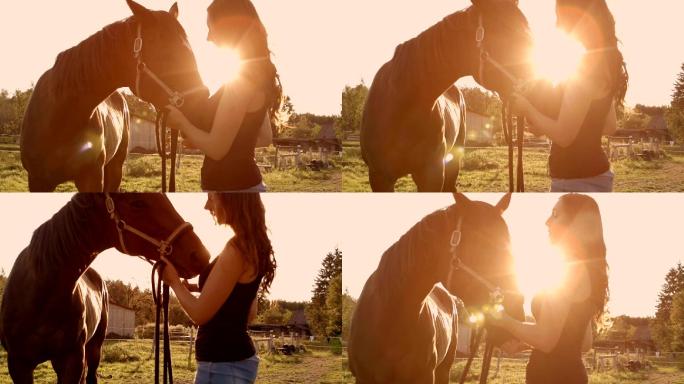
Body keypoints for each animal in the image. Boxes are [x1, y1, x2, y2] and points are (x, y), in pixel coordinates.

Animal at [0, 195, 211, 384]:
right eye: (138, 203)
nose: (200, 255)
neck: (41, 294)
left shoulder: (71, 361)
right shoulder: (18, 364)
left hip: (94, 349)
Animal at [21, 0, 208, 192]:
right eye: (167, 54)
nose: (203, 107)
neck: (60, 118)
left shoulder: (92, 178)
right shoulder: (37, 181)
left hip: (116, 167)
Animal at [348, 195, 524, 384]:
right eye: (482, 245)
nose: (517, 315)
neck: (390, 321)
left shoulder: (425, 376)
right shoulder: (363, 378)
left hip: (444, 370)